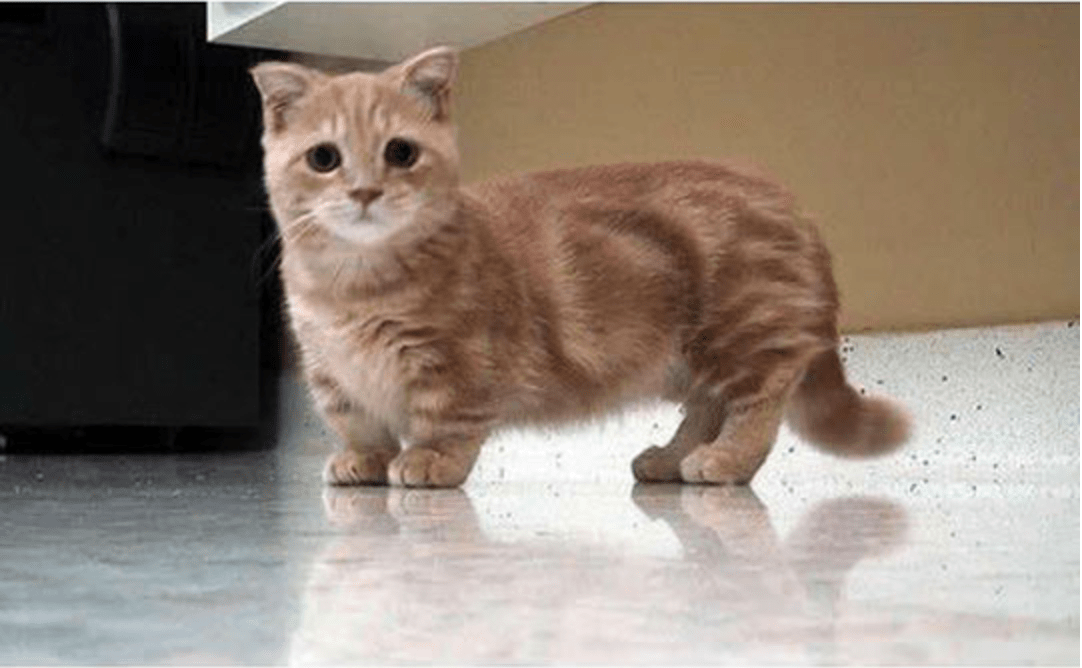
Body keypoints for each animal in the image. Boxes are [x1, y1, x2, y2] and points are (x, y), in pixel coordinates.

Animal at [248, 45, 908, 485]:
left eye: (401, 152)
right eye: (325, 158)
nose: (364, 192)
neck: (351, 286)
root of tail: (785, 196)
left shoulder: (457, 364)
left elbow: (447, 421)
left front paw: (430, 461)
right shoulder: (330, 373)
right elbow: (359, 423)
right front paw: (367, 460)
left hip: (740, 330)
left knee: (762, 397)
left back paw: (727, 459)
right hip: (690, 358)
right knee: (707, 406)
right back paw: (670, 459)